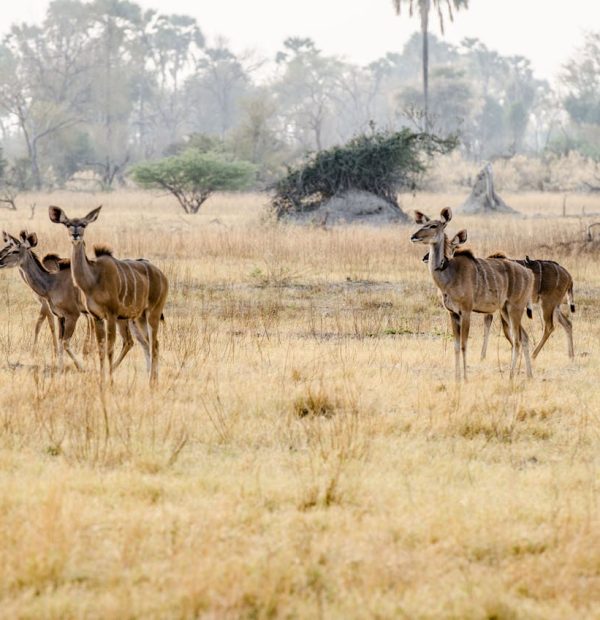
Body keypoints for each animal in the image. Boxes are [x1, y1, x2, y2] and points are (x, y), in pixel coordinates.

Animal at [47, 206, 168, 386]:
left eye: (83, 224)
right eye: (67, 224)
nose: (75, 235)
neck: (92, 280)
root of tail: (163, 277)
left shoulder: (111, 315)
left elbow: (110, 347)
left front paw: (110, 380)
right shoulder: (96, 317)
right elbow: (101, 347)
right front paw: (101, 379)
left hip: (153, 313)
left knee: (154, 343)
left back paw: (152, 381)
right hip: (139, 317)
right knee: (151, 343)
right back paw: (152, 379)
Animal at [412, 207, 536, 382]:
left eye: (434, 225)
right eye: (424, 224)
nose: (414, 236)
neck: (449, 275)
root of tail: (529, 274)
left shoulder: (466, 311)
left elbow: (464, 344)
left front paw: (465, 378)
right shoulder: (453, 313)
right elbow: (456, 346)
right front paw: (457, 378)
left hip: (515, 308)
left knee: (517, 340)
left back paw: (511, 376)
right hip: (505, 310)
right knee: (524, 337)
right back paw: (529, 376)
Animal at [424, 241, 576, 358]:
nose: (426, 257)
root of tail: (569, 276)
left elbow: (505, 331)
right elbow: (492, 327)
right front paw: (483, 356)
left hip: (547, 304)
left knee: (549, 326)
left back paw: (534, 354)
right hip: (554, 306)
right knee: (567, 323)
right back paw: (571, 355)